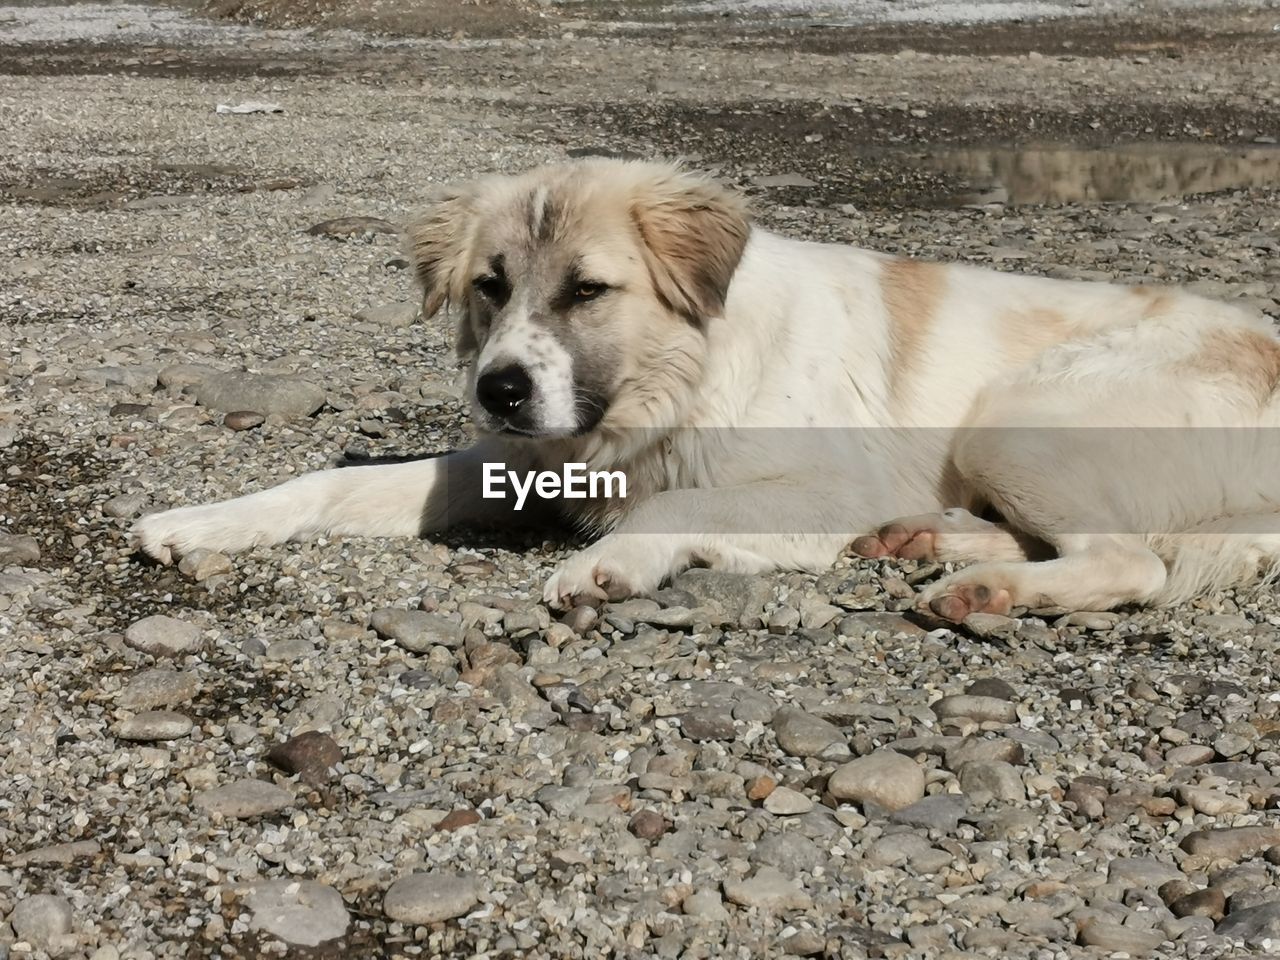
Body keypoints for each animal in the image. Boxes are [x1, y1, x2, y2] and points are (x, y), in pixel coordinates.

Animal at [132, 158, 1280, 619]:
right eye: (489, 287)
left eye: (587, 290)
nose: (498, 390)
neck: (676, 386)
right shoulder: (510, 462)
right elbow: (329, 483)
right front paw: (203, 520)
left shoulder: (819, 486)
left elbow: (675, 507)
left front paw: (613, 564)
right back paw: (935, 543)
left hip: (1018, 423)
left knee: (1131, 561)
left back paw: (983, 587)